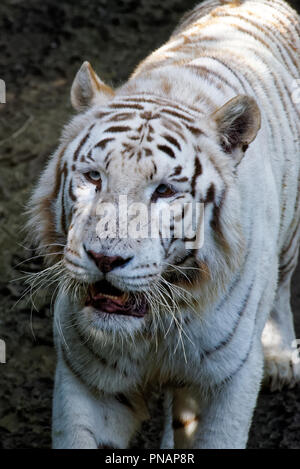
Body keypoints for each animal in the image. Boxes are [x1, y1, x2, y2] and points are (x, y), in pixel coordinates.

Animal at [28, 0, 300, 448]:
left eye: (165, 191)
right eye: (94, 177)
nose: (104, 259)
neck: (153, 325)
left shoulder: (227, 379)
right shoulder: (89, 379)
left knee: (280, 287)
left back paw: (281, 359)